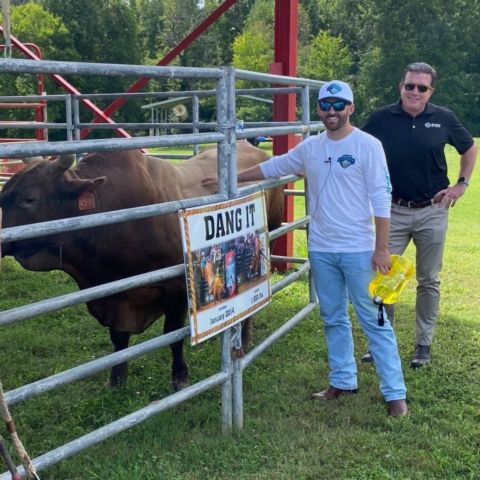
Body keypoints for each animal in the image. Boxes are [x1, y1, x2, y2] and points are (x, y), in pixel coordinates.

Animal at [0, 141, 284, 388]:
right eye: (4, 196)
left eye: (30, 199)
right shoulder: (115, 295)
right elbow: (118, 339)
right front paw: (117, 378)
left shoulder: (177, 289)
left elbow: (173, 336)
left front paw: (180, 376)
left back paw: (244, 337)